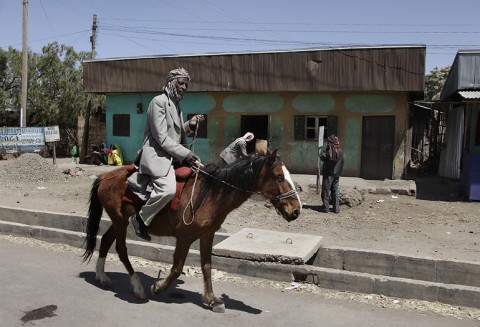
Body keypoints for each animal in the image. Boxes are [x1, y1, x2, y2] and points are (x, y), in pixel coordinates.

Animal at [82, 150, 300, 314]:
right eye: (279, 177)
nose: (296, 211)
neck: (211, 194)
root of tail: (105, 176)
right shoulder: (184, 238)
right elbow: (177, 268)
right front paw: (158, 287)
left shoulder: (207, 235)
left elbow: (207, 266)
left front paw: (212, 299)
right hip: (120, 221)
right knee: (121, 249)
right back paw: (137, 287)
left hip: (119, 220)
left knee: (106, 240)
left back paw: (102, 277)